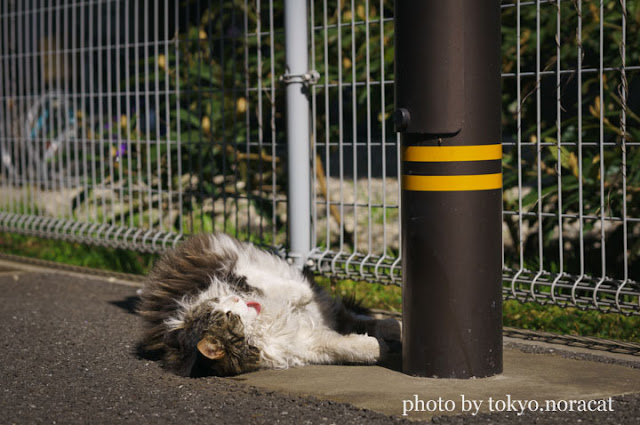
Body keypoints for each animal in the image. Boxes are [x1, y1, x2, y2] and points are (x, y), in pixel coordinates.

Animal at [136, 234, 400, 376]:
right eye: (229, 317)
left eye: (223, 311)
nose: (235, 300)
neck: (263, 325)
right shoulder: (302, 345)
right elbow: (346, 346)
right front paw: (377, 349)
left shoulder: (234, 274)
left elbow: (288, 289)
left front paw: (300, 293)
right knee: (351, 320)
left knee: (353, 316)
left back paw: (395, 325)